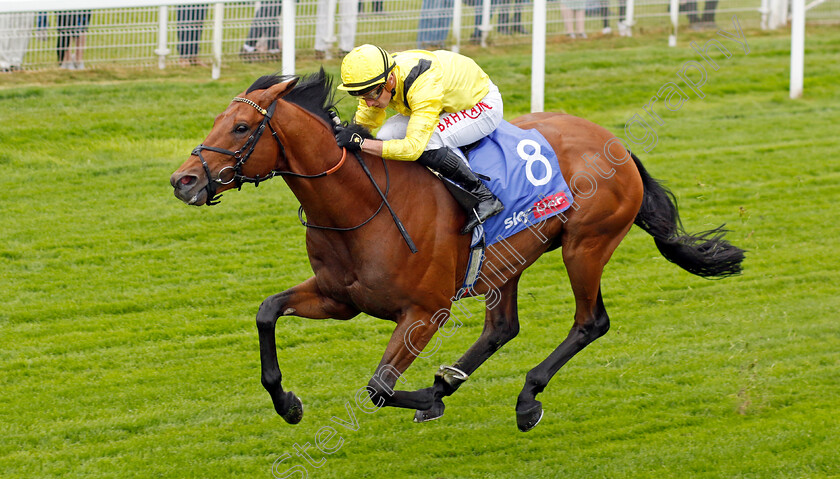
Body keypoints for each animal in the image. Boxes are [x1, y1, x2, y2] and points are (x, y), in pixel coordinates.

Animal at [169, 69, 740, 434]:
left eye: (242, 127)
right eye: (217, 121)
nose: (183, 180)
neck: (361, 205)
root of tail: (615, 142)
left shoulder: (425, 312)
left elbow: (378, 386)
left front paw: (424, 396)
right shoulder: (338, 298)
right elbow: (267, 311)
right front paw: (287, 402)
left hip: (586, 245)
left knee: (589, 322)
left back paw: (523, 398)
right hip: (510, 258)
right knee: (502, 327)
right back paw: (452, 382)